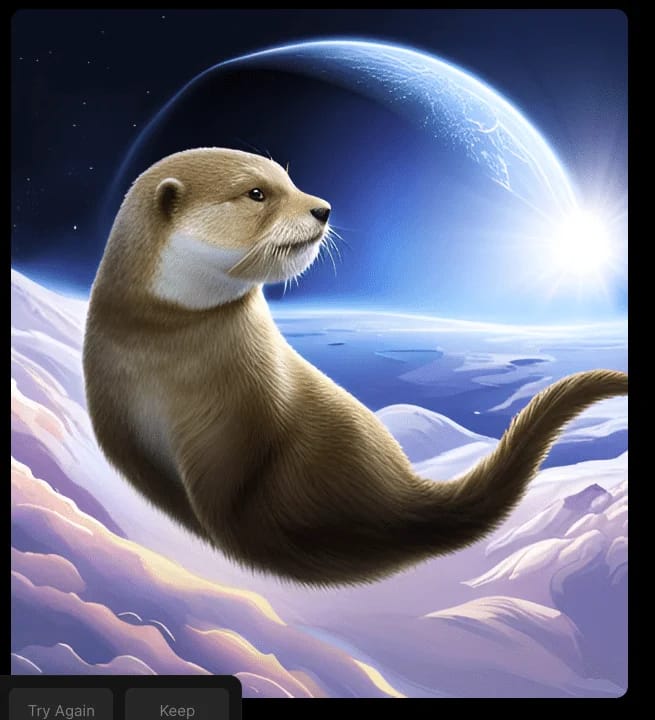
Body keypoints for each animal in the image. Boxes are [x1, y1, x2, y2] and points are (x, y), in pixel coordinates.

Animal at [83, 147, 628, 586]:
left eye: (289, 180)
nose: (323, 208)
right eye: (257, 192)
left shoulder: (234, 424)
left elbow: (228, 505)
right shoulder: (113, 412)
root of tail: (401, 492)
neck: (162, 355)